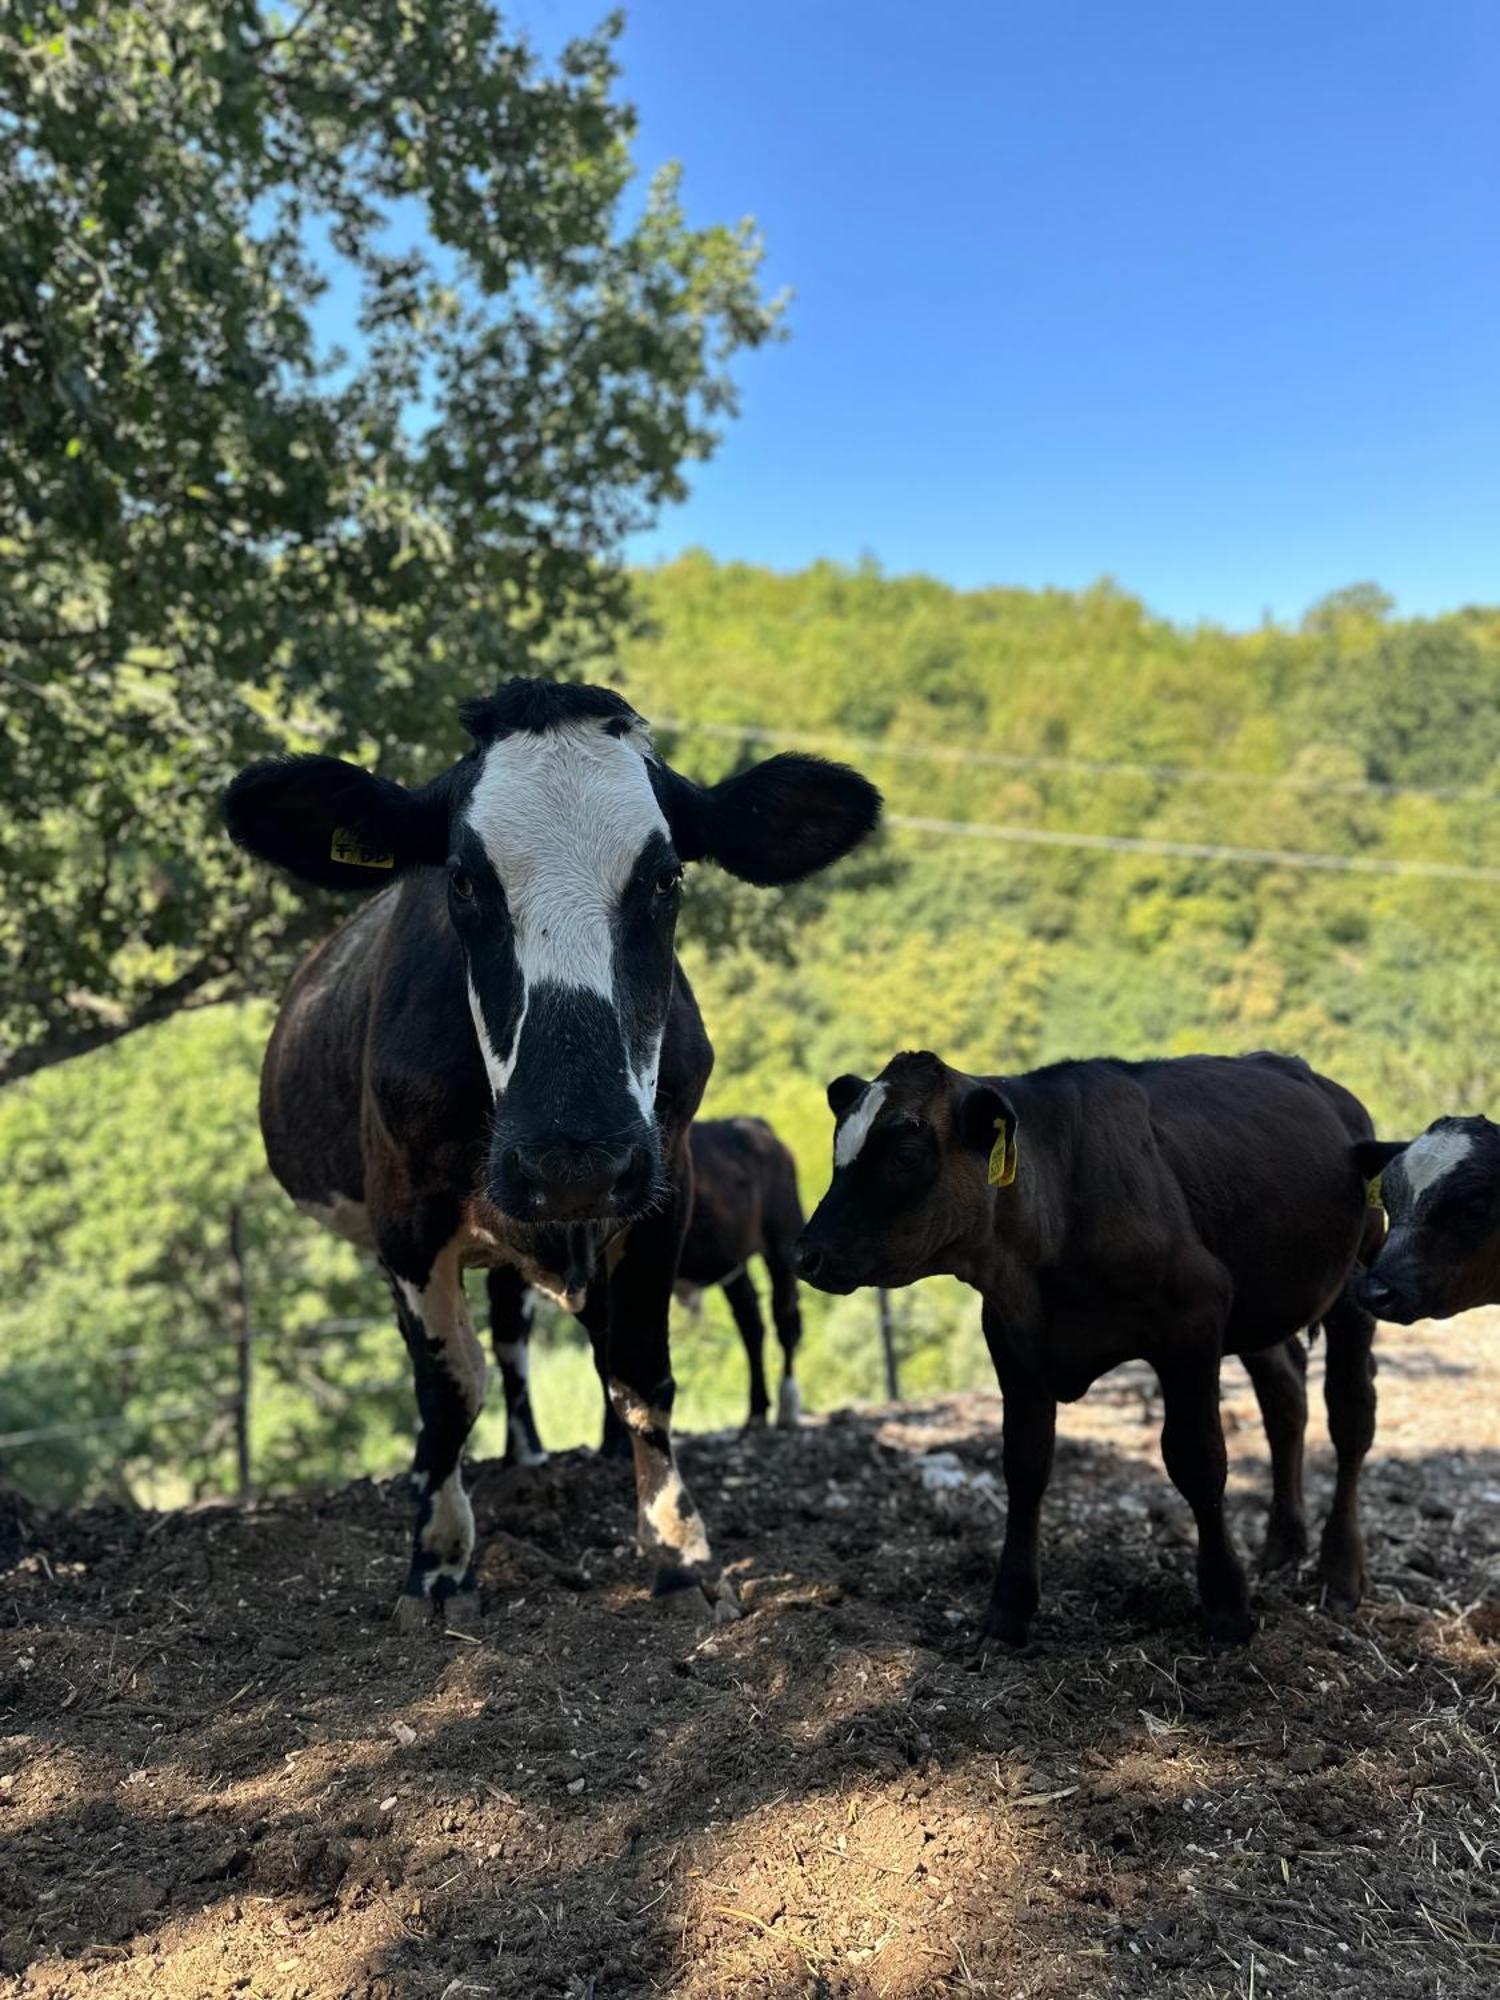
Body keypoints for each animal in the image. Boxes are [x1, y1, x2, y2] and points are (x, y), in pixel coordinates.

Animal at [223, 680, 880, 1632]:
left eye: (667, 878)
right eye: (462, 880)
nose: (575, 1158)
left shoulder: (664, 1183)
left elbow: (639, 1368)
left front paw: (680, 1554)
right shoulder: (406, 1213)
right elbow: (448, 1385)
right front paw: (438, 1563)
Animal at [800, 1048, 1384, 1640]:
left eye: (907, 1155)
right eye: (838, 1147)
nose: (807, 1254)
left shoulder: (1193, 1322)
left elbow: (1198, 1461)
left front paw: (1227, 1608)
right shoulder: (1012, 1339)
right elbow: (1024, 1465)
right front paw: (1008, 1609)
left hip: (1359, 1285)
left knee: (1350, 1418)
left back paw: (1340, 1573)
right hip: (1261, 1309)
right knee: (1285, 1402)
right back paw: (1283, 1548)